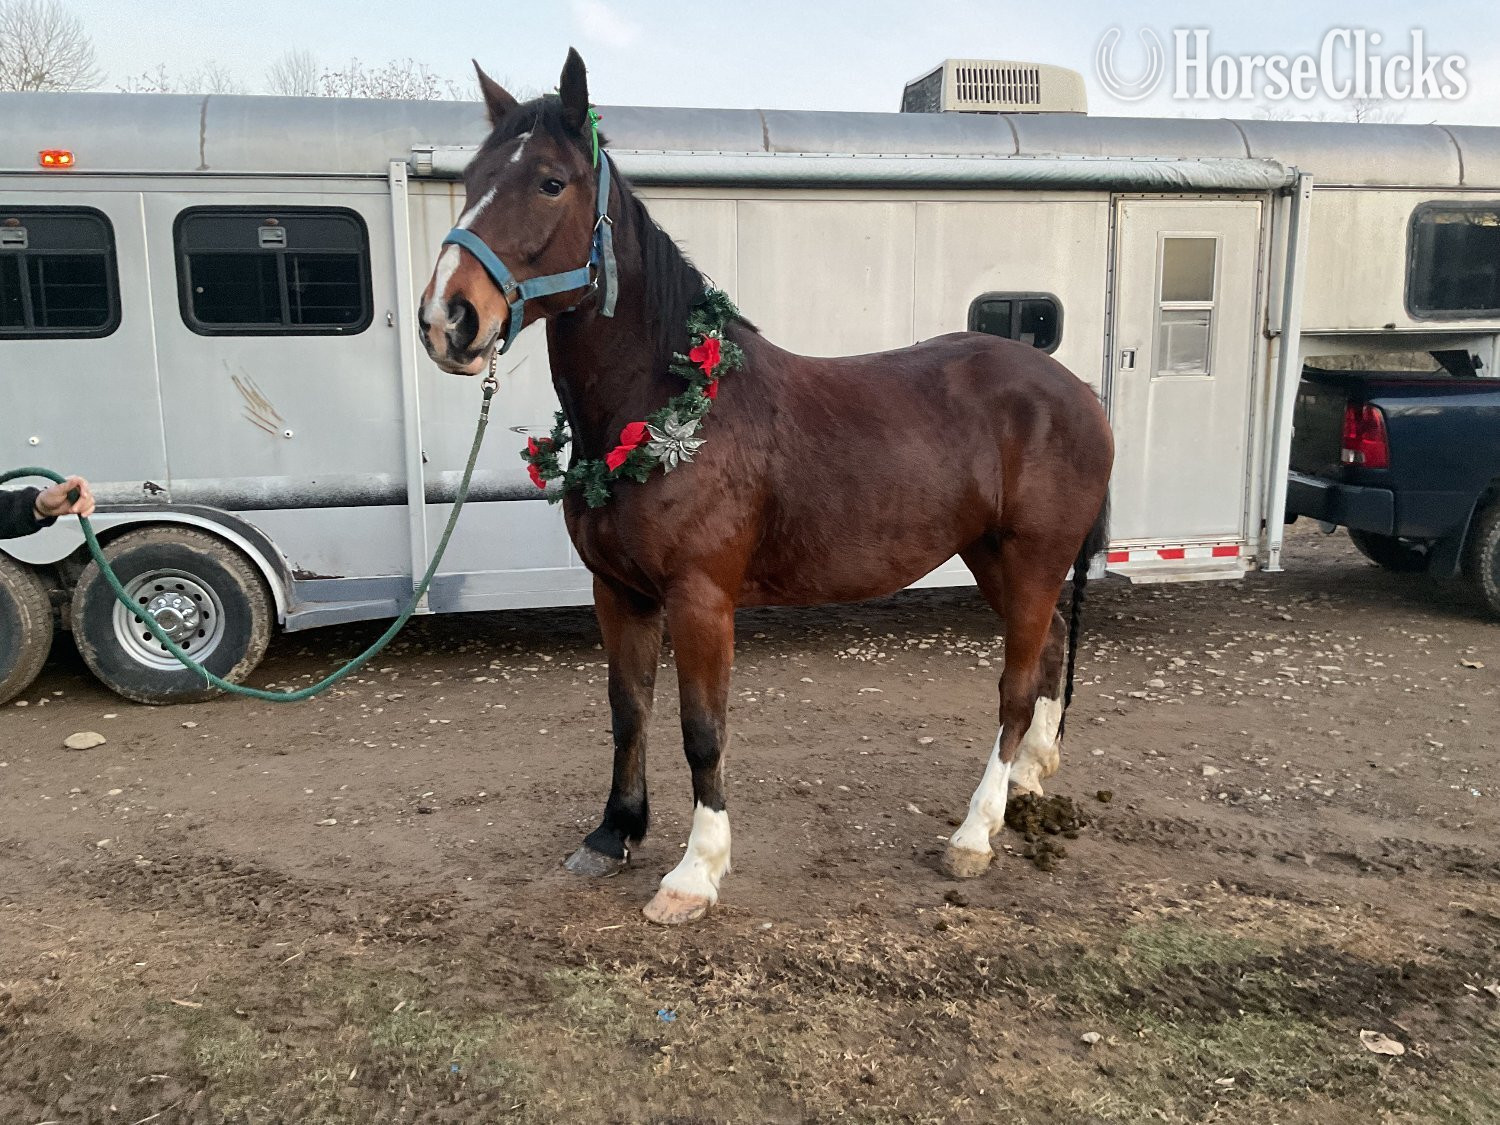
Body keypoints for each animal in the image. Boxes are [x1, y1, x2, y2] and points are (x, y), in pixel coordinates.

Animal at [418, 49, 1114, 925]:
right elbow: (627, 710)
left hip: (1030, 560)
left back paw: (974, 832)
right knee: (1050, 649)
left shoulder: (700, 598)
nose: (447, 320)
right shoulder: (618, 591)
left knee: (1017, 688)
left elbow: (701, 728)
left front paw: (695, 870)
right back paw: (1026, 782)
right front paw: (613, 833)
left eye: (549, 181)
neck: (668, 403)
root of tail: (1080, 392)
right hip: (998, 560)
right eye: (473, 177)